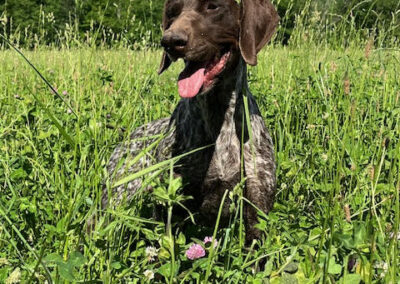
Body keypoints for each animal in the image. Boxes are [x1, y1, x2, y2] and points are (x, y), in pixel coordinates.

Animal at [101, 0, 280, 243]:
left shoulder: (257, 206)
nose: (170, 41)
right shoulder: (170, 201)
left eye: (213, 7)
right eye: (173, 12)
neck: (218, 116)